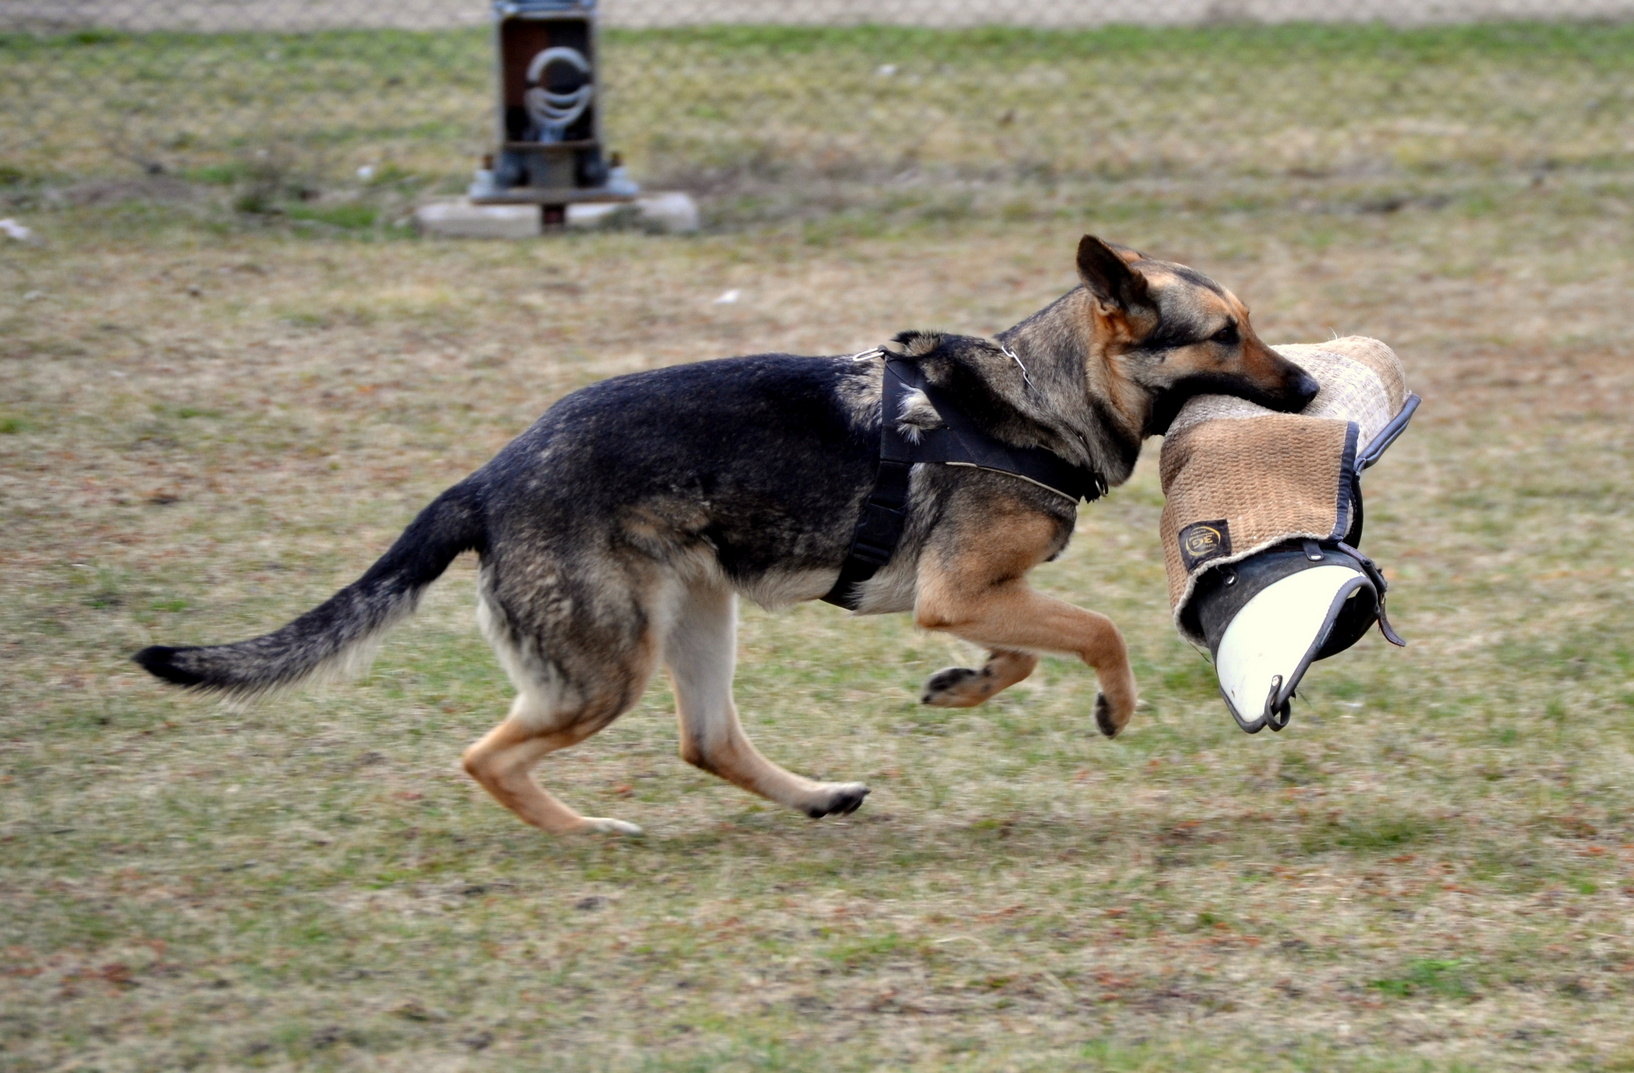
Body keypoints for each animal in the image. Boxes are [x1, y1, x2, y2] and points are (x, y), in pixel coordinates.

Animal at [134, 236, 1318, 835]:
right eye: (1225, 335)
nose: (1309, 390)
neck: (1037, 392)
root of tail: (485, 480)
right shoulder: (964, 590)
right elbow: (1098, 629)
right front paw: (1112, 705)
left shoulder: (973, 598)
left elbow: (1026, 649)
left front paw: (964, 686)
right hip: (607, 665)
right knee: (487, 754)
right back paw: (586, 833)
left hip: (700, 615)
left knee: (705, 740)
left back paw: (814, 795)